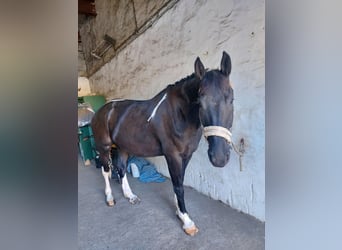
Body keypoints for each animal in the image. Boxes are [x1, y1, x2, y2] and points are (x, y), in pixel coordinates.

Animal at [91, 51, 235, 236]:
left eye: (231, 99)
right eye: (200, 102)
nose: (219, 157)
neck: (180, 114)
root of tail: (101, 112)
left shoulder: (186, 155)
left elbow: (179, 182)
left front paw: (179, 212)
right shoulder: (172, 155)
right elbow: (178, 185)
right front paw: (187, 221)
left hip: (123, 147)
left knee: (121, 168)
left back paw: (130, 196)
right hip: (104, 147)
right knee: (106, 171)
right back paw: (109, 197)